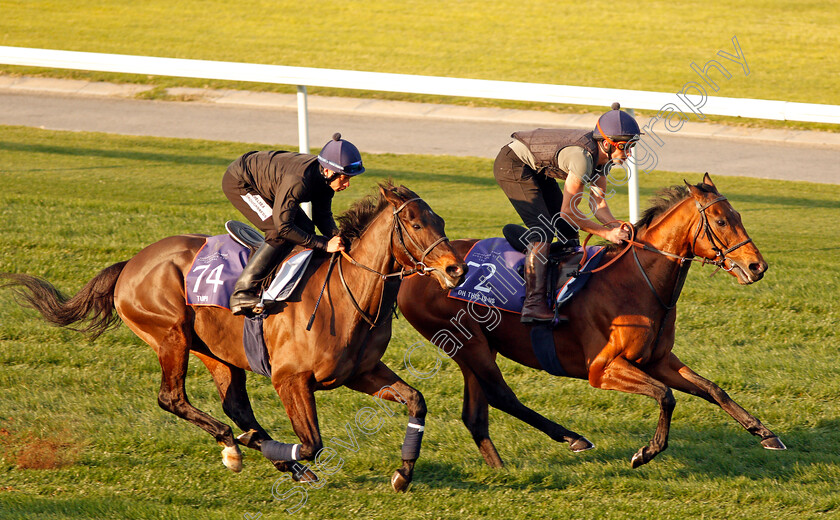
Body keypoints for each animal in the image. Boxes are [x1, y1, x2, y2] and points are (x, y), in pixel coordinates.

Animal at [3, 183, 466, 492]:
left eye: (440, 221)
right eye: (413, 223)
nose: (455, 269)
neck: (347, 293)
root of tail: (131, 263)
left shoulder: (360, 372)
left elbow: (416, 400)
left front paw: (403, 474)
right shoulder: (290, 379)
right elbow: (312, 444)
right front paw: (282, 457)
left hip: (217, 352)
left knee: (235, 404)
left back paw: (254, 446)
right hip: (171, 335)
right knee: (173, 398)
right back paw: (235, 445)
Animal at [398, 174, 784, 468]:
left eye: (738, 215)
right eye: (720, 221)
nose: (757, 266)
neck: (636, 281)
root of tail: (416, 269)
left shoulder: (658, 359)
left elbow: (711, 388)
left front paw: (765, 433)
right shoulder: (602, 369)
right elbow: (666, 395)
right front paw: (646, 452)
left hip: (477, 347)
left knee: (477, 414)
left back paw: (500, 468)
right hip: (469, 345)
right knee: (501, 396)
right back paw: (573, 438)